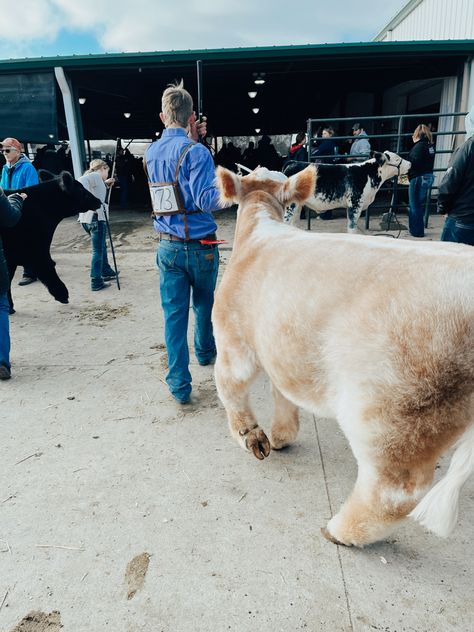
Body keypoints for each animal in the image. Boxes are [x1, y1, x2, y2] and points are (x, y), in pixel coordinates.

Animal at [2, 169, 100, 310]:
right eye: (82, 191)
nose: (98, 201)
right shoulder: (37, 250)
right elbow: (48, 267)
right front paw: (63, 295)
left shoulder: (11, 259)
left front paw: (9, 307)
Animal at [282, 151, 412, 232]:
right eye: (397, 159)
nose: (410, 163)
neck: (368, 175)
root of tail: (293, 162)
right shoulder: (355, 204)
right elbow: (352, 228)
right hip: (290, 205)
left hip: (298, 206)